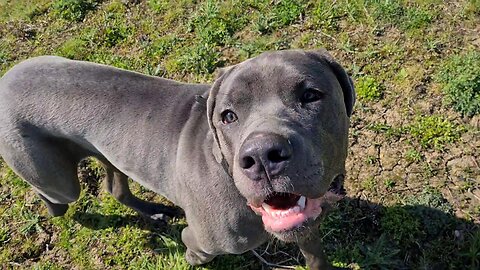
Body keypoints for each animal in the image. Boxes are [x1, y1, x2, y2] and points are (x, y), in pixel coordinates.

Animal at [0, 49, 352, 268]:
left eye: (310, 95)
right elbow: (193, 251)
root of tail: (5, 78)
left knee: (115, 187)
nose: (262, 156)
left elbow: (314, 253)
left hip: (107, 153)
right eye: (227, 116)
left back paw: (154, 212)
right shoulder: (200, 241)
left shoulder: (306, 222)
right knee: (55, 196)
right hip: (58, 181)